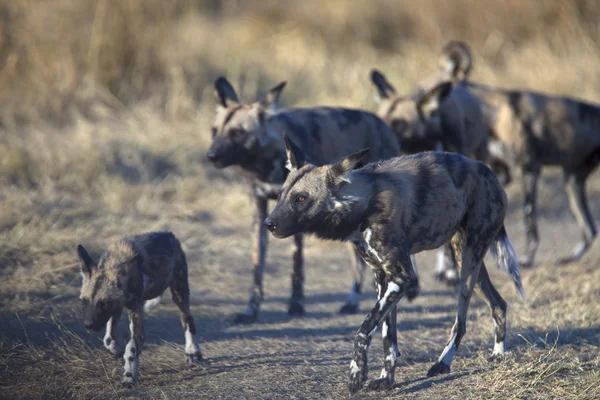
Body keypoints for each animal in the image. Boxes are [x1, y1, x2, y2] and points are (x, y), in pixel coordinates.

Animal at [77, 231, 202, 388]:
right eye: (84, 301)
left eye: (104, 303)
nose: (88, 325)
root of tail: (169, 234)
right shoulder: (118, 306)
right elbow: (109, 338)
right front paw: (116, 351)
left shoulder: (134, 310)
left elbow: (131, 348)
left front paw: (128, 376)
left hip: (179, 294)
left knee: (187, 319)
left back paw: (192, 351)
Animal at [206, 76, 404, 324]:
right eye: (215, 131)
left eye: (237, 133)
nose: (211, 156)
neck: (267, 161)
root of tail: (381, 123)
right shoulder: (261, 211)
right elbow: (257, 265)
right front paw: (251, 309)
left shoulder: (296, 216)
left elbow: (296, 265)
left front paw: (296, 305)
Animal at [264, 141, 524, 394]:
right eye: (281, 195)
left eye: (301, 198)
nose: (269, 223)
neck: (365, 204)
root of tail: (488, 171)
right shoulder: (383, 278)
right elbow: (388, 337)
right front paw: (385, 380)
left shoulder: (401, 278)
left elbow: (364, 329)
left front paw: (357, 374)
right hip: (467, 259)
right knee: (498, 304)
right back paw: (498, 353)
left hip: (469, 262)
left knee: (460, 321)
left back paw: (443, 363)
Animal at [436, 40, 600, 268]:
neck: (490, 114)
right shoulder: (500, 169)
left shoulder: (529, 169)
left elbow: (529, 220)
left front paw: (527, 258)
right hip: (572, 180)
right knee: (590, 228)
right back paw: (571, 257)